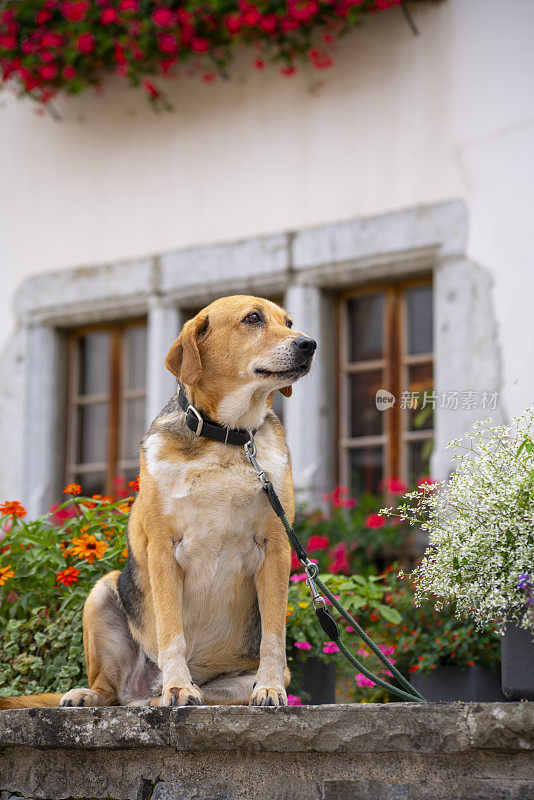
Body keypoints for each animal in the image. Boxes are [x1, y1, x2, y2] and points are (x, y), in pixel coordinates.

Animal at [0, 294, 316, 708]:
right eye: (252, 318)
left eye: (289, 321)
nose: (309, 344)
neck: (227, 438)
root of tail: (141, 691)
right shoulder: (163, 548)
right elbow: (171, 633)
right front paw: (177, 687)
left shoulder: (276, 547)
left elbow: (274, 639)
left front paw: (270, 688)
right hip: (101, 591)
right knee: (111, 691)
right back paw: (106, 693)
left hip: (226, 685)